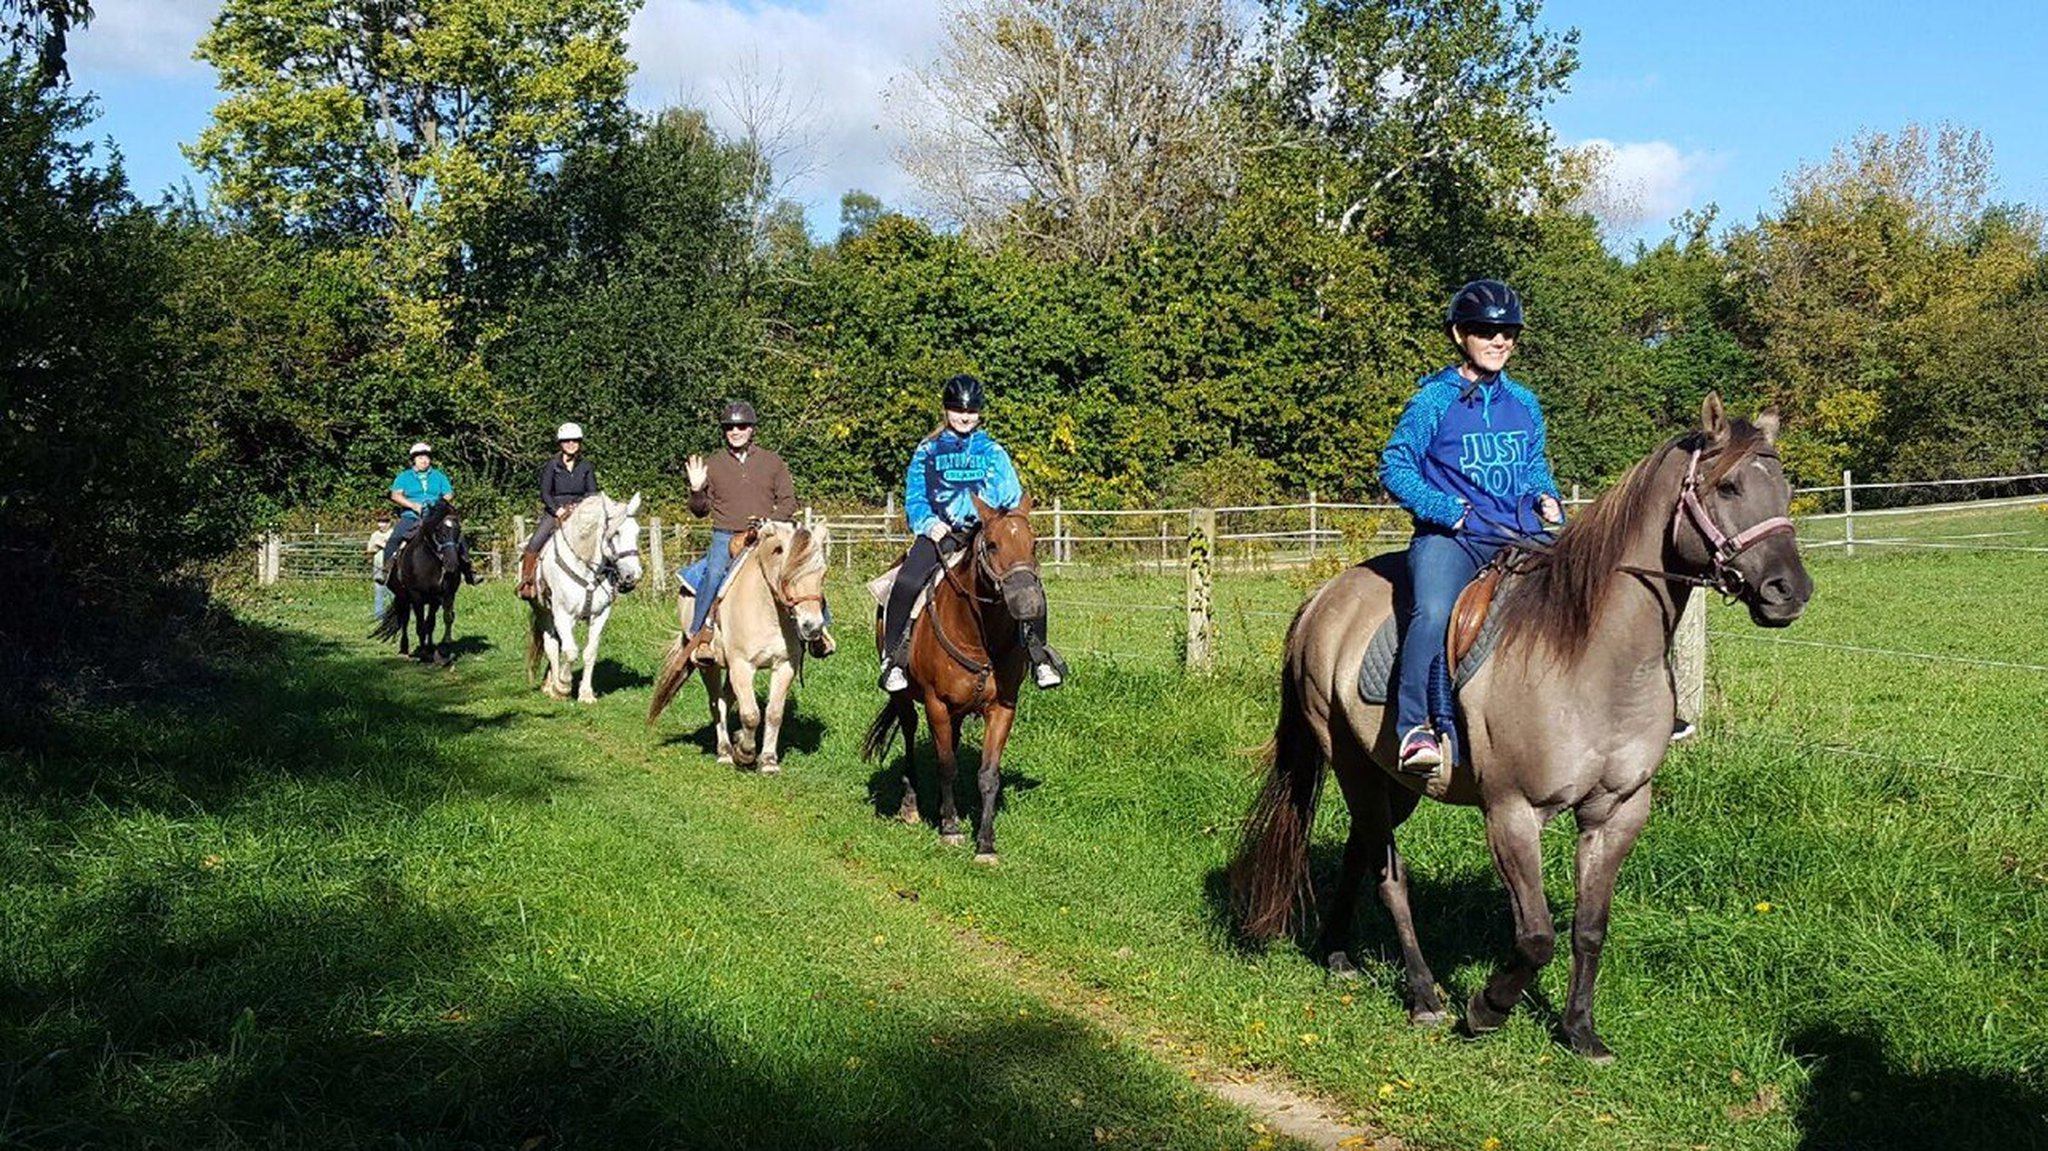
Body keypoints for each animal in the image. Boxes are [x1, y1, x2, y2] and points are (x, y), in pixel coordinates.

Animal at [528, 485, 647, 696]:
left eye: (637, 532)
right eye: (616, 533)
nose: (632, 575)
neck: (586, 569)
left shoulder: (600, 615)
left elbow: (589, 652)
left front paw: (586, 694)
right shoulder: (562, 614)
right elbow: (571, 651)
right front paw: (563, 684)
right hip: (543, 612)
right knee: (552, 645)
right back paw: (552, 687)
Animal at [643, 520, 827, 770]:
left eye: (822, 573)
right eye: (787, 575)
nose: (812, 627)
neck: (767, 611)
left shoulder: (784, 666)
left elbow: (773, 714)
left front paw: (768, 761)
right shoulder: (742, 666)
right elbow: (751, 714)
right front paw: (745, 753)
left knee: (726, 700)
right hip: (709, 665)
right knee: (716, 704)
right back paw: (724, 752)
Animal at [864, 493, 1048, 860]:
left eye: (1033, 544)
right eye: (992, 545)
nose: (1029, 604)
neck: (978, 637)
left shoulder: (1002, 708)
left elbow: (988, 773)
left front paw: (986, 843)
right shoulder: (936, 703)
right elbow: (946, 765)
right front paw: (950, 828)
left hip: (959, 710)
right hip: (905, 698)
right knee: (910, 735)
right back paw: (912, 805)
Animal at [1228, 393, 1810, 1056]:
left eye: (1786, 490)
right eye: (1729, 486)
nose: (1789, 591)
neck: (1590, 658)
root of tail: (1324, 599)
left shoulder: (1618, 811)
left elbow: (1588, 927)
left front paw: (1581, 1032)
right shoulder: (1512, 811)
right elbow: (1535, 936)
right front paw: (1486, 1008)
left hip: (1394, 782)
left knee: (1361, 852)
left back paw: (1338, 954)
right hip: (1354, 767)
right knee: (1390, 878)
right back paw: (1424, 996)